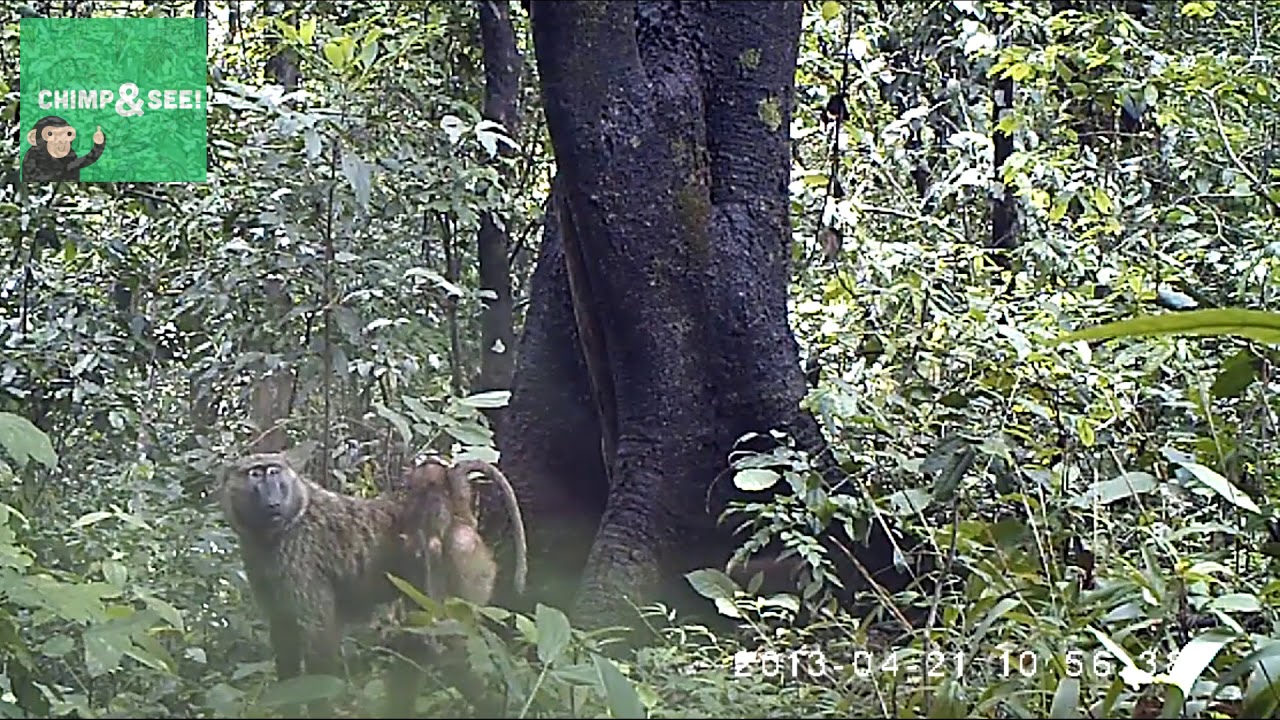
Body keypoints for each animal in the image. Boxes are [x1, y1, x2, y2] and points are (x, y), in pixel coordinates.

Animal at [220, 452, 528, 717]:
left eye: (274, 473)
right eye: (256, 474)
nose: (272, 500)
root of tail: (459, 516)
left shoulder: (301, 561)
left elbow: (319, 642)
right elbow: (285, 639)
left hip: (462, 564)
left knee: (443, 645)